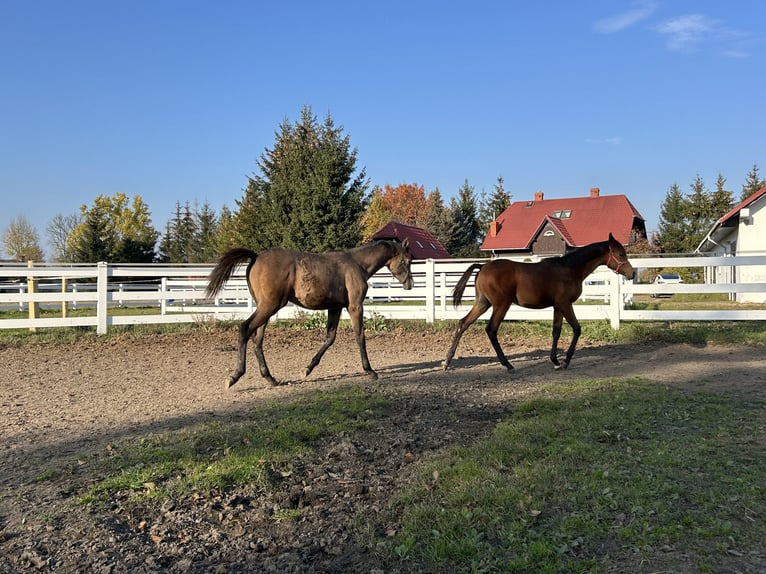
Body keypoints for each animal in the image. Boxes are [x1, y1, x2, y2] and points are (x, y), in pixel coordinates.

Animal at [206, 241, 414, 390]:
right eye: (407, 261)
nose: (410, 284)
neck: (356, 264)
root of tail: (256, 256)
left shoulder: (335, 308)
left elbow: (330, 338)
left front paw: (306, 369)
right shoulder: (355, 306)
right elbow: (360, 336)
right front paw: (370, 371)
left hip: (265, 309)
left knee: (257, 339)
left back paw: (270, 378)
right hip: (268, 306)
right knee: (245, 329)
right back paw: (234, 377)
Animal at [444, 234, 636, 374]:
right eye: (621, 254)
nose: (632, 273)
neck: (569, 269)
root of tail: (483, 267)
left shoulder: (557, 306)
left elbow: (556, 331)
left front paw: (555, 361)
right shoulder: (565, 304)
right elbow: (577, 329)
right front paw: (565, 361)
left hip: (483, 303)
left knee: (463, 323)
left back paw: (447, 361)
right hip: (501, 305)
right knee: (491, 329)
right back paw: (508, 365)